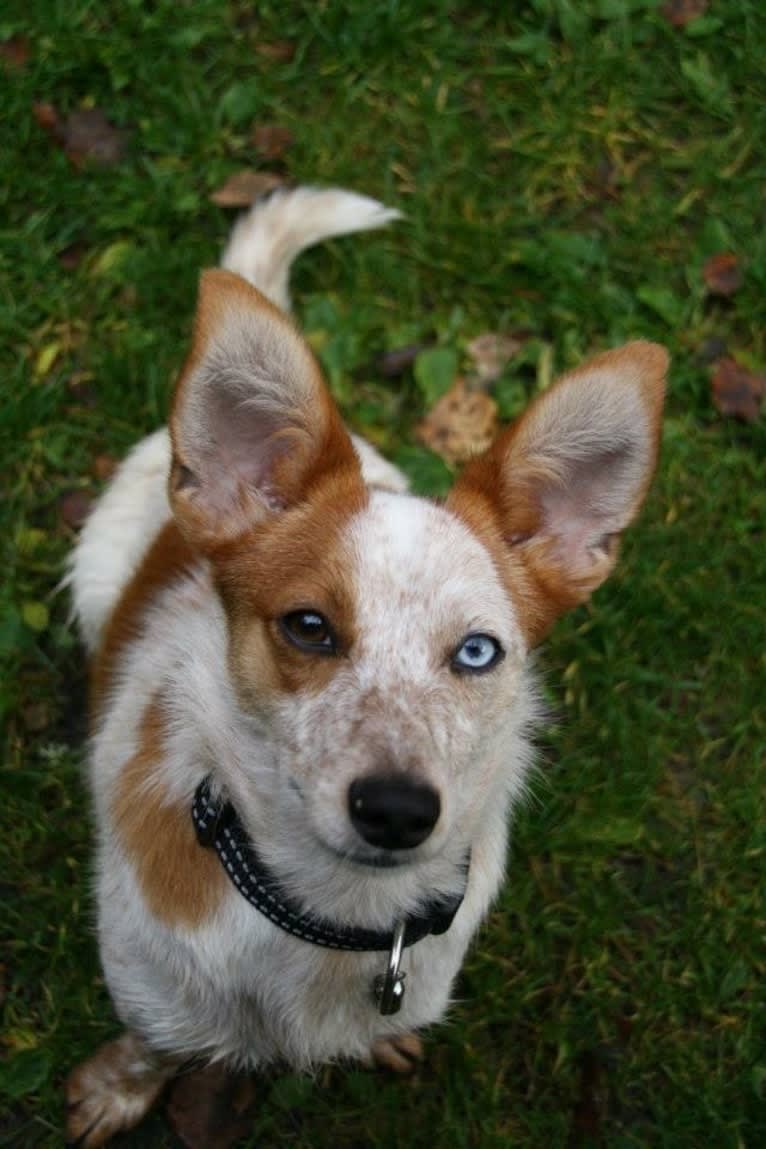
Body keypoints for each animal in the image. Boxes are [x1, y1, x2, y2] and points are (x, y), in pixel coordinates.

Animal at [66, 183, 666, 1144]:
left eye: (477, 650)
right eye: (309, 626)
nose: (397, 808)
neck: (330, 917)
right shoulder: (148, 975)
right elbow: (152, 1039)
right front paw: (122, 1085)